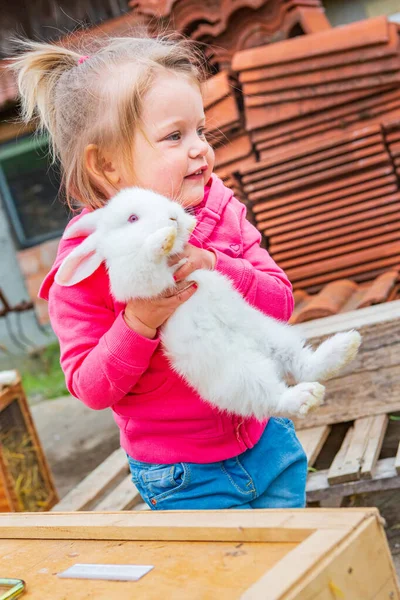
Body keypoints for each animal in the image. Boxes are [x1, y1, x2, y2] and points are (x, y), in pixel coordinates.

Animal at [56, 190, 362, 420]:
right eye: (132, 218)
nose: (173, 216)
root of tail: (258, 352)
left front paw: (185, 227)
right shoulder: (135, 279)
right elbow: (146, 261)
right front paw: (163, 237)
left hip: (273, 335)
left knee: (304, 365)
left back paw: (346, 346)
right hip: (240, 375)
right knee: (275, 398)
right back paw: (308, 394)